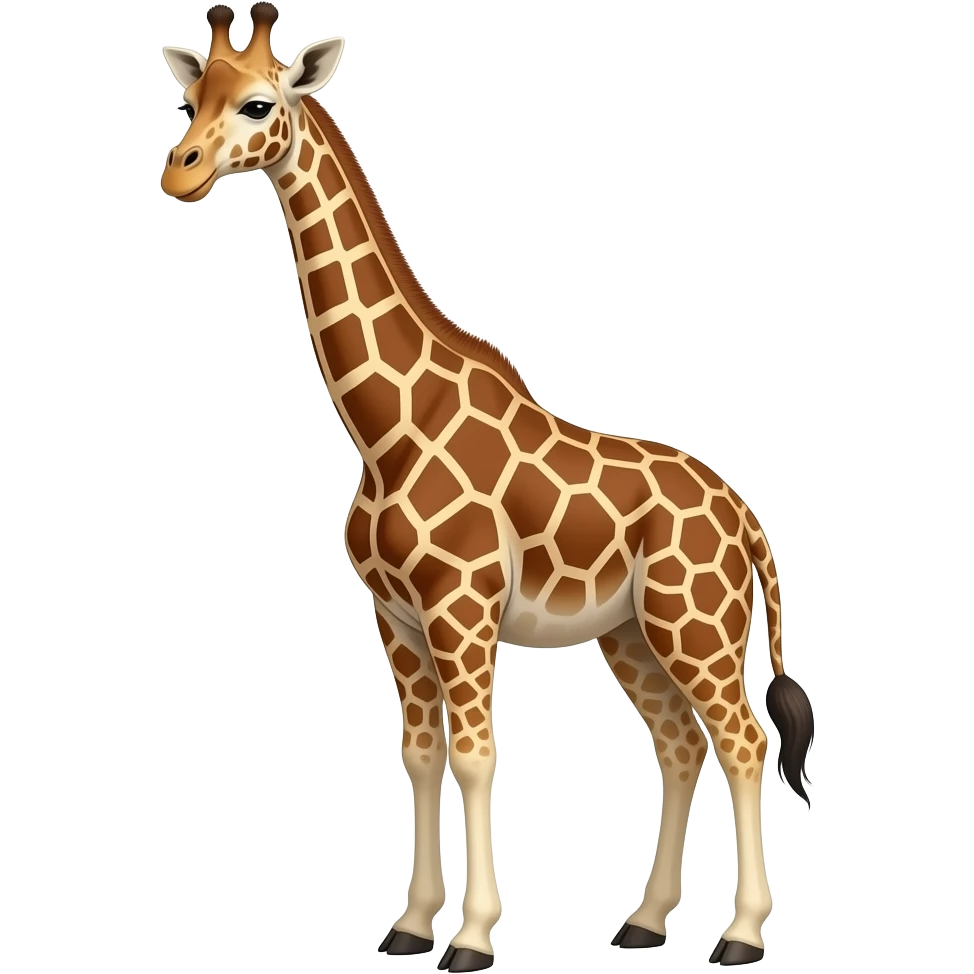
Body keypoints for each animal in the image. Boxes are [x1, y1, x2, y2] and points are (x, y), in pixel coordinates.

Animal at [160, 6, 815, 969]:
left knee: (743, 738)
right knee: (678, 742)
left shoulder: (459, 610)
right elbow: (421, 755)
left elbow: (476, 756)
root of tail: (748, 522)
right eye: (190, 96)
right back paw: (646, 921)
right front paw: (408, 925)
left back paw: (740, 935)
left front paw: (470, 937)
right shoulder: (394, 618)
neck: (386, 429)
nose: (182, 170)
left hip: (697, 624)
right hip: (631, 633)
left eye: (256, 103)